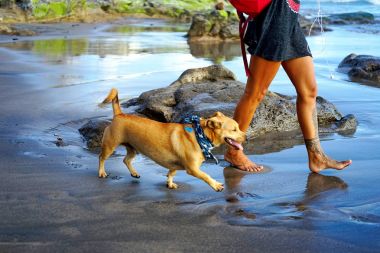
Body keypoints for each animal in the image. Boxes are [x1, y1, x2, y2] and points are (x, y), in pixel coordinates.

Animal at [98, 88, 246, 191]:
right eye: (234, 130)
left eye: (238, 128)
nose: (245, 136)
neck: (201, 135)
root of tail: (119, 114)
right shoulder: (192, 169)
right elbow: (206, 176)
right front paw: (216, 185)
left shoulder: (174, 165)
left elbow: (171, 173)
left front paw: (169, 184)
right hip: (110, 145)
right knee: (102, 158)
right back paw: (102, 172)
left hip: (132, 147)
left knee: (126, 160)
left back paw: (134, 173)